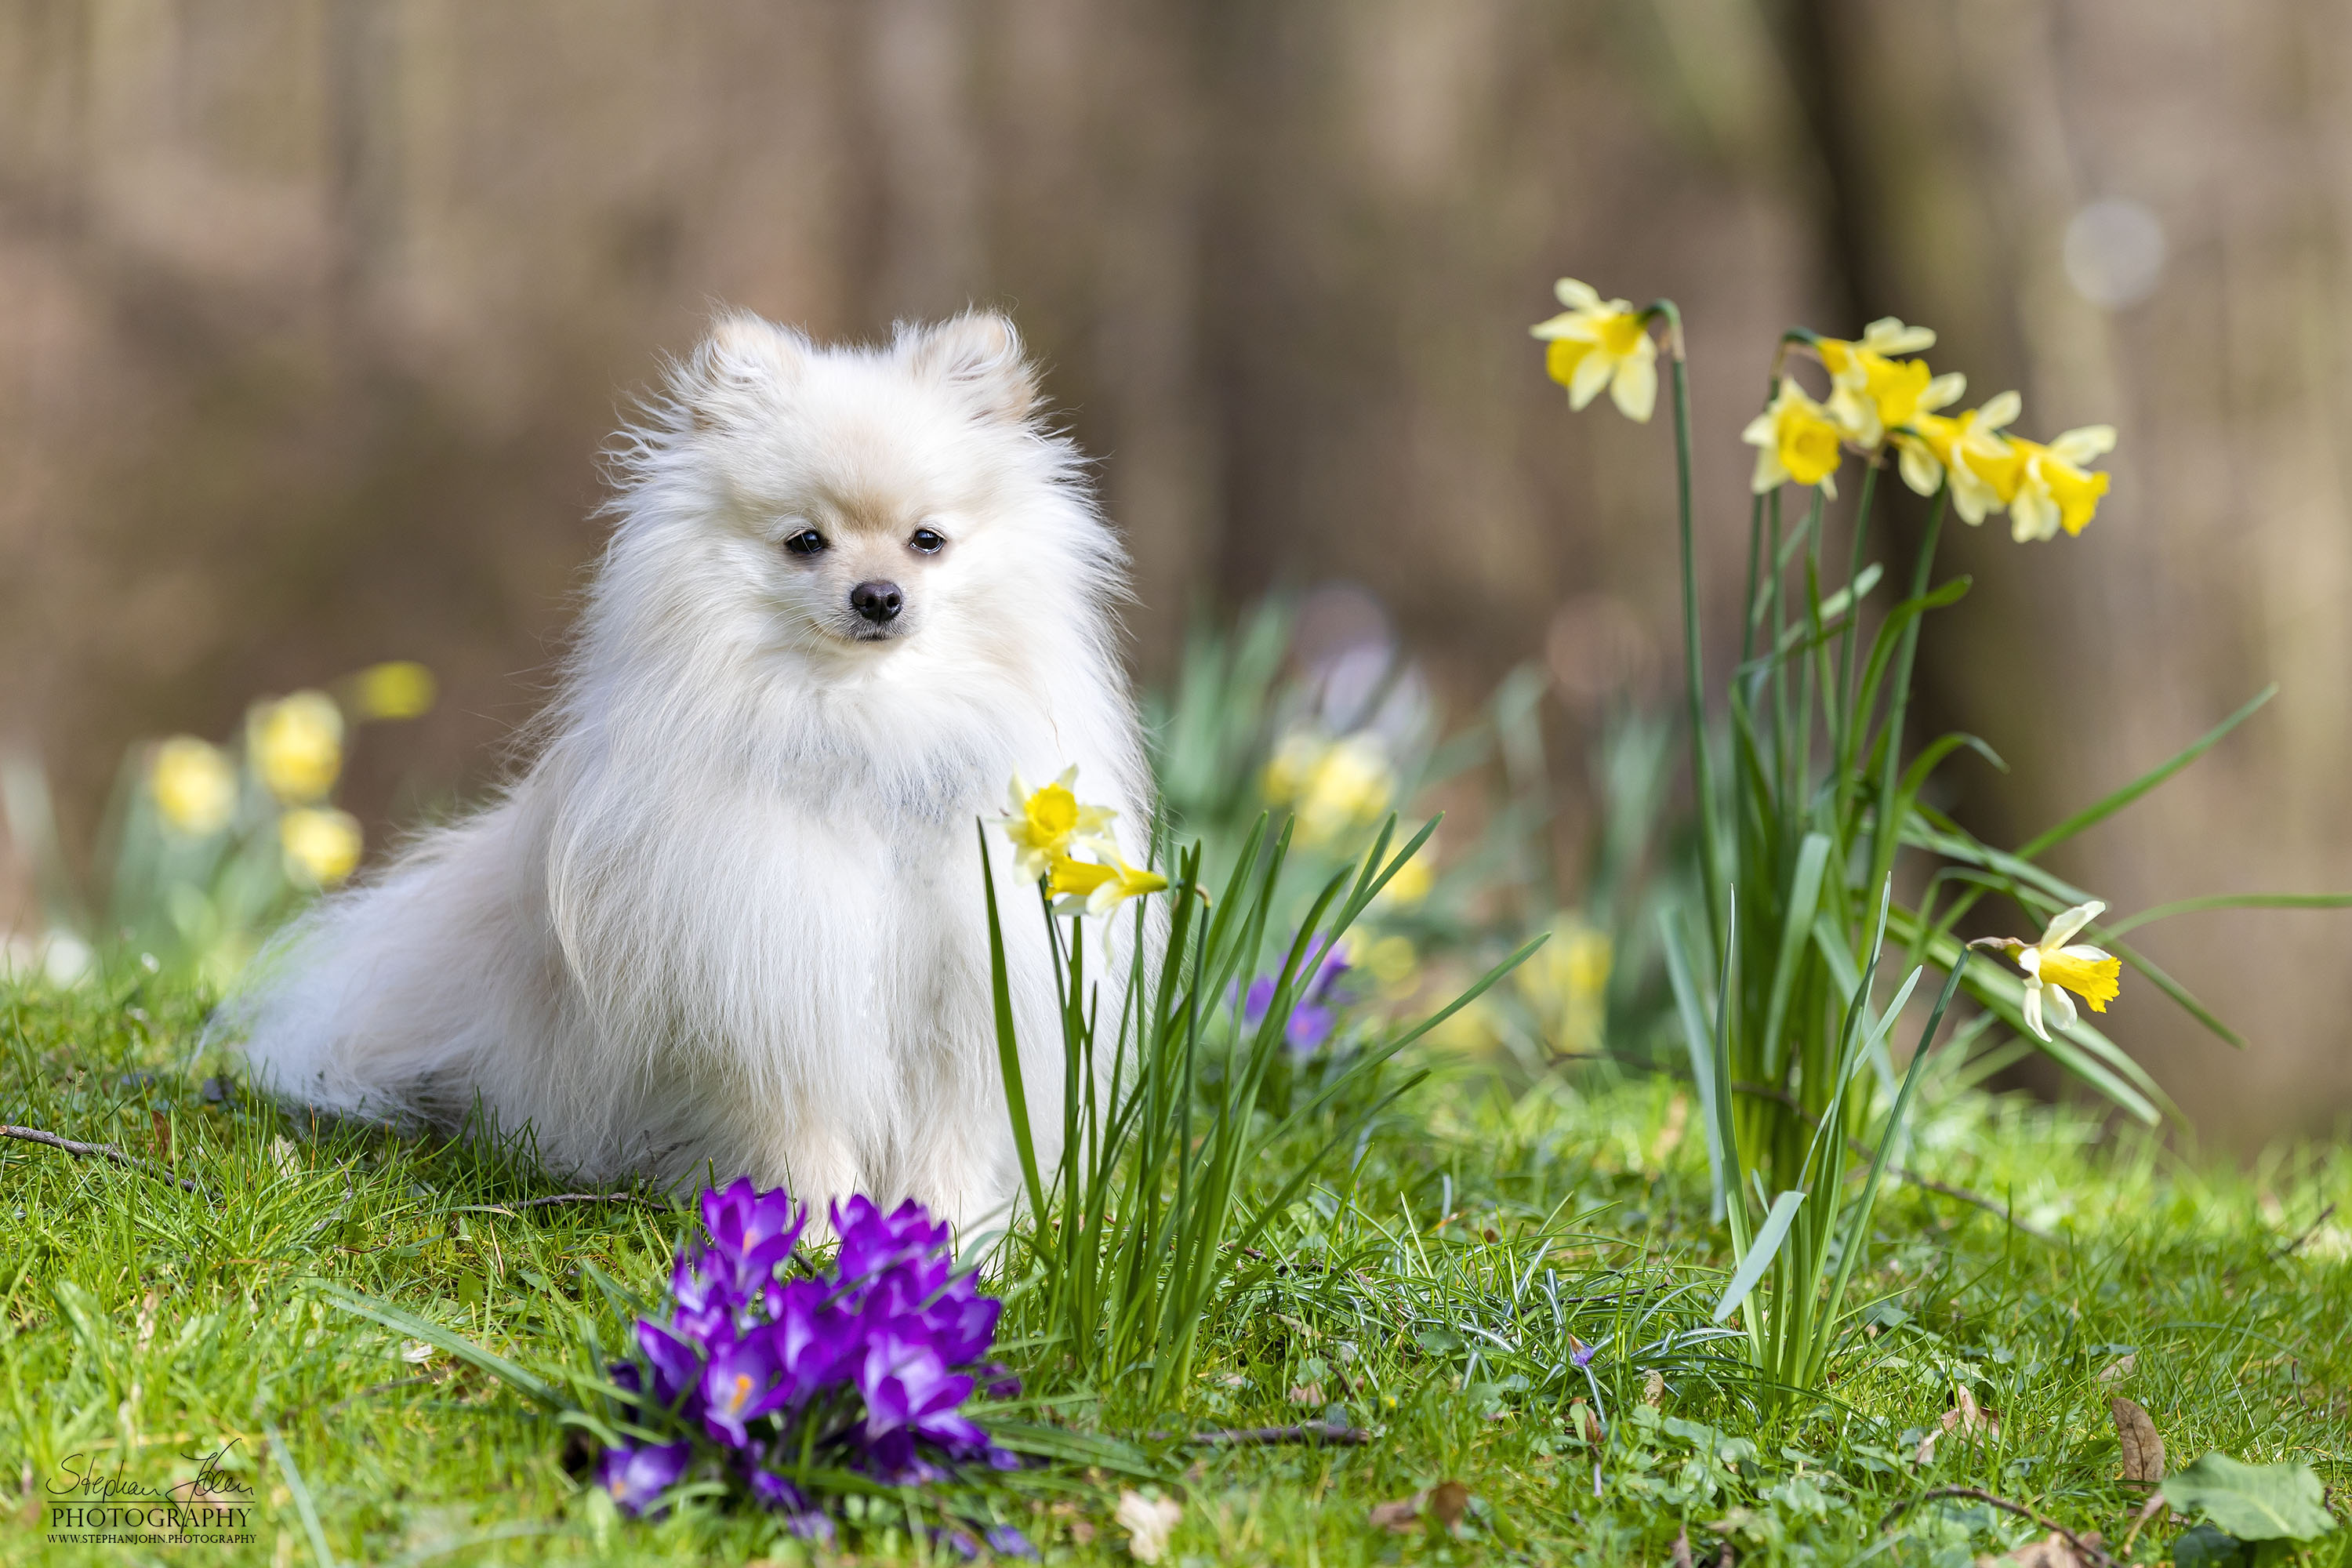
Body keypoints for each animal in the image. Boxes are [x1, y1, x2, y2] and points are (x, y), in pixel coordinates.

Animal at [234, 312, 1152, 1232]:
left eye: (927, 540)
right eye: (806, 541)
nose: (878, 595)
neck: (865, 725)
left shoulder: (974, 996)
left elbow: (952, 1141)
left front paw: (947, 1237)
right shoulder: (761, 985)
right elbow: (802, 1134)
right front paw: (821, 1235)